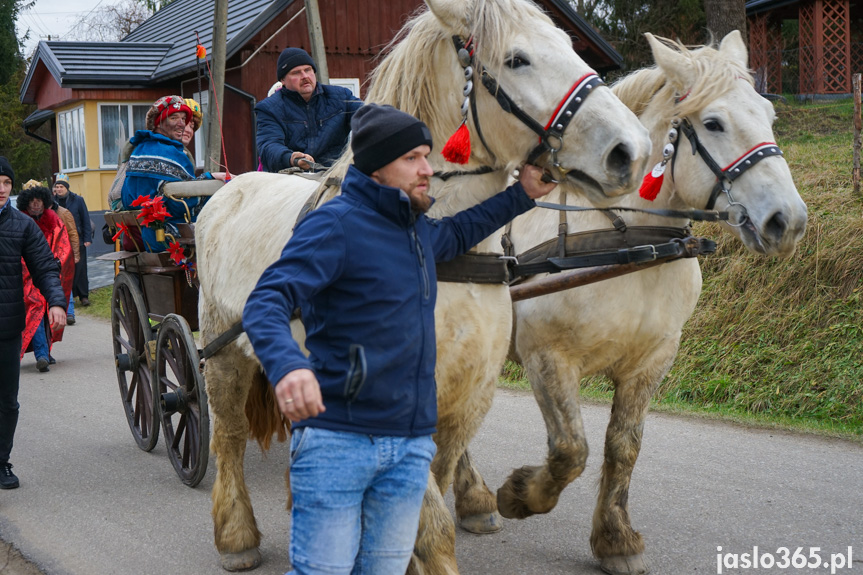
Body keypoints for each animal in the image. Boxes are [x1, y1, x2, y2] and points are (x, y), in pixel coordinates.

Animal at [196, 0, 652, 572]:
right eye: (517, 59)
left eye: (569, 46)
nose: (630, 150)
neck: (432, 248)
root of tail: (228, 188)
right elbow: (431, 524)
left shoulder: (469, 396)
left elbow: (428, 487)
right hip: (224, 355)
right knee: (228, 437)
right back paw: (237, 537)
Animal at [486, 31, 808, 575]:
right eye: (714, 123)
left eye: (769, 113)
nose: (788, 221)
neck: (626, 238)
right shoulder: (547, 357)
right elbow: (570, 451)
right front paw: (518, 494)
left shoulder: (651, 361)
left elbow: (623, 447)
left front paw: (616, 540)